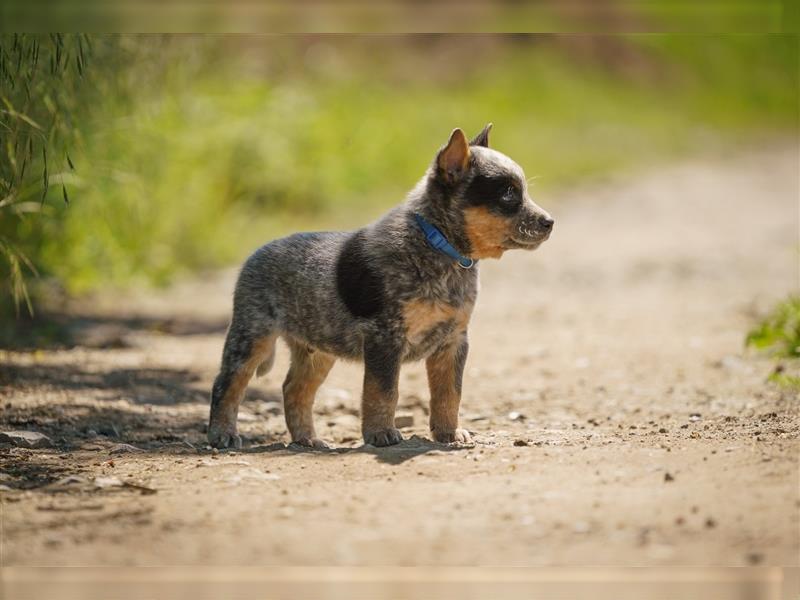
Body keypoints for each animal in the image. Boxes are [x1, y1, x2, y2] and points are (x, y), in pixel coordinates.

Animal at [209, 123, 552, 450]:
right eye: (508, 195)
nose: (549, 222)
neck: (438, 246)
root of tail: (258, 252)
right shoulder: (384, 337)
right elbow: (384, 390)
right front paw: (380, 433)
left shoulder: (453, 341)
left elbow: (449, 393)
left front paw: (449, 433)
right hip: (252, 335)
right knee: (226, 384)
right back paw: (222, 434)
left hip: (317, 350)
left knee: (294, 390)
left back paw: (307, 439)